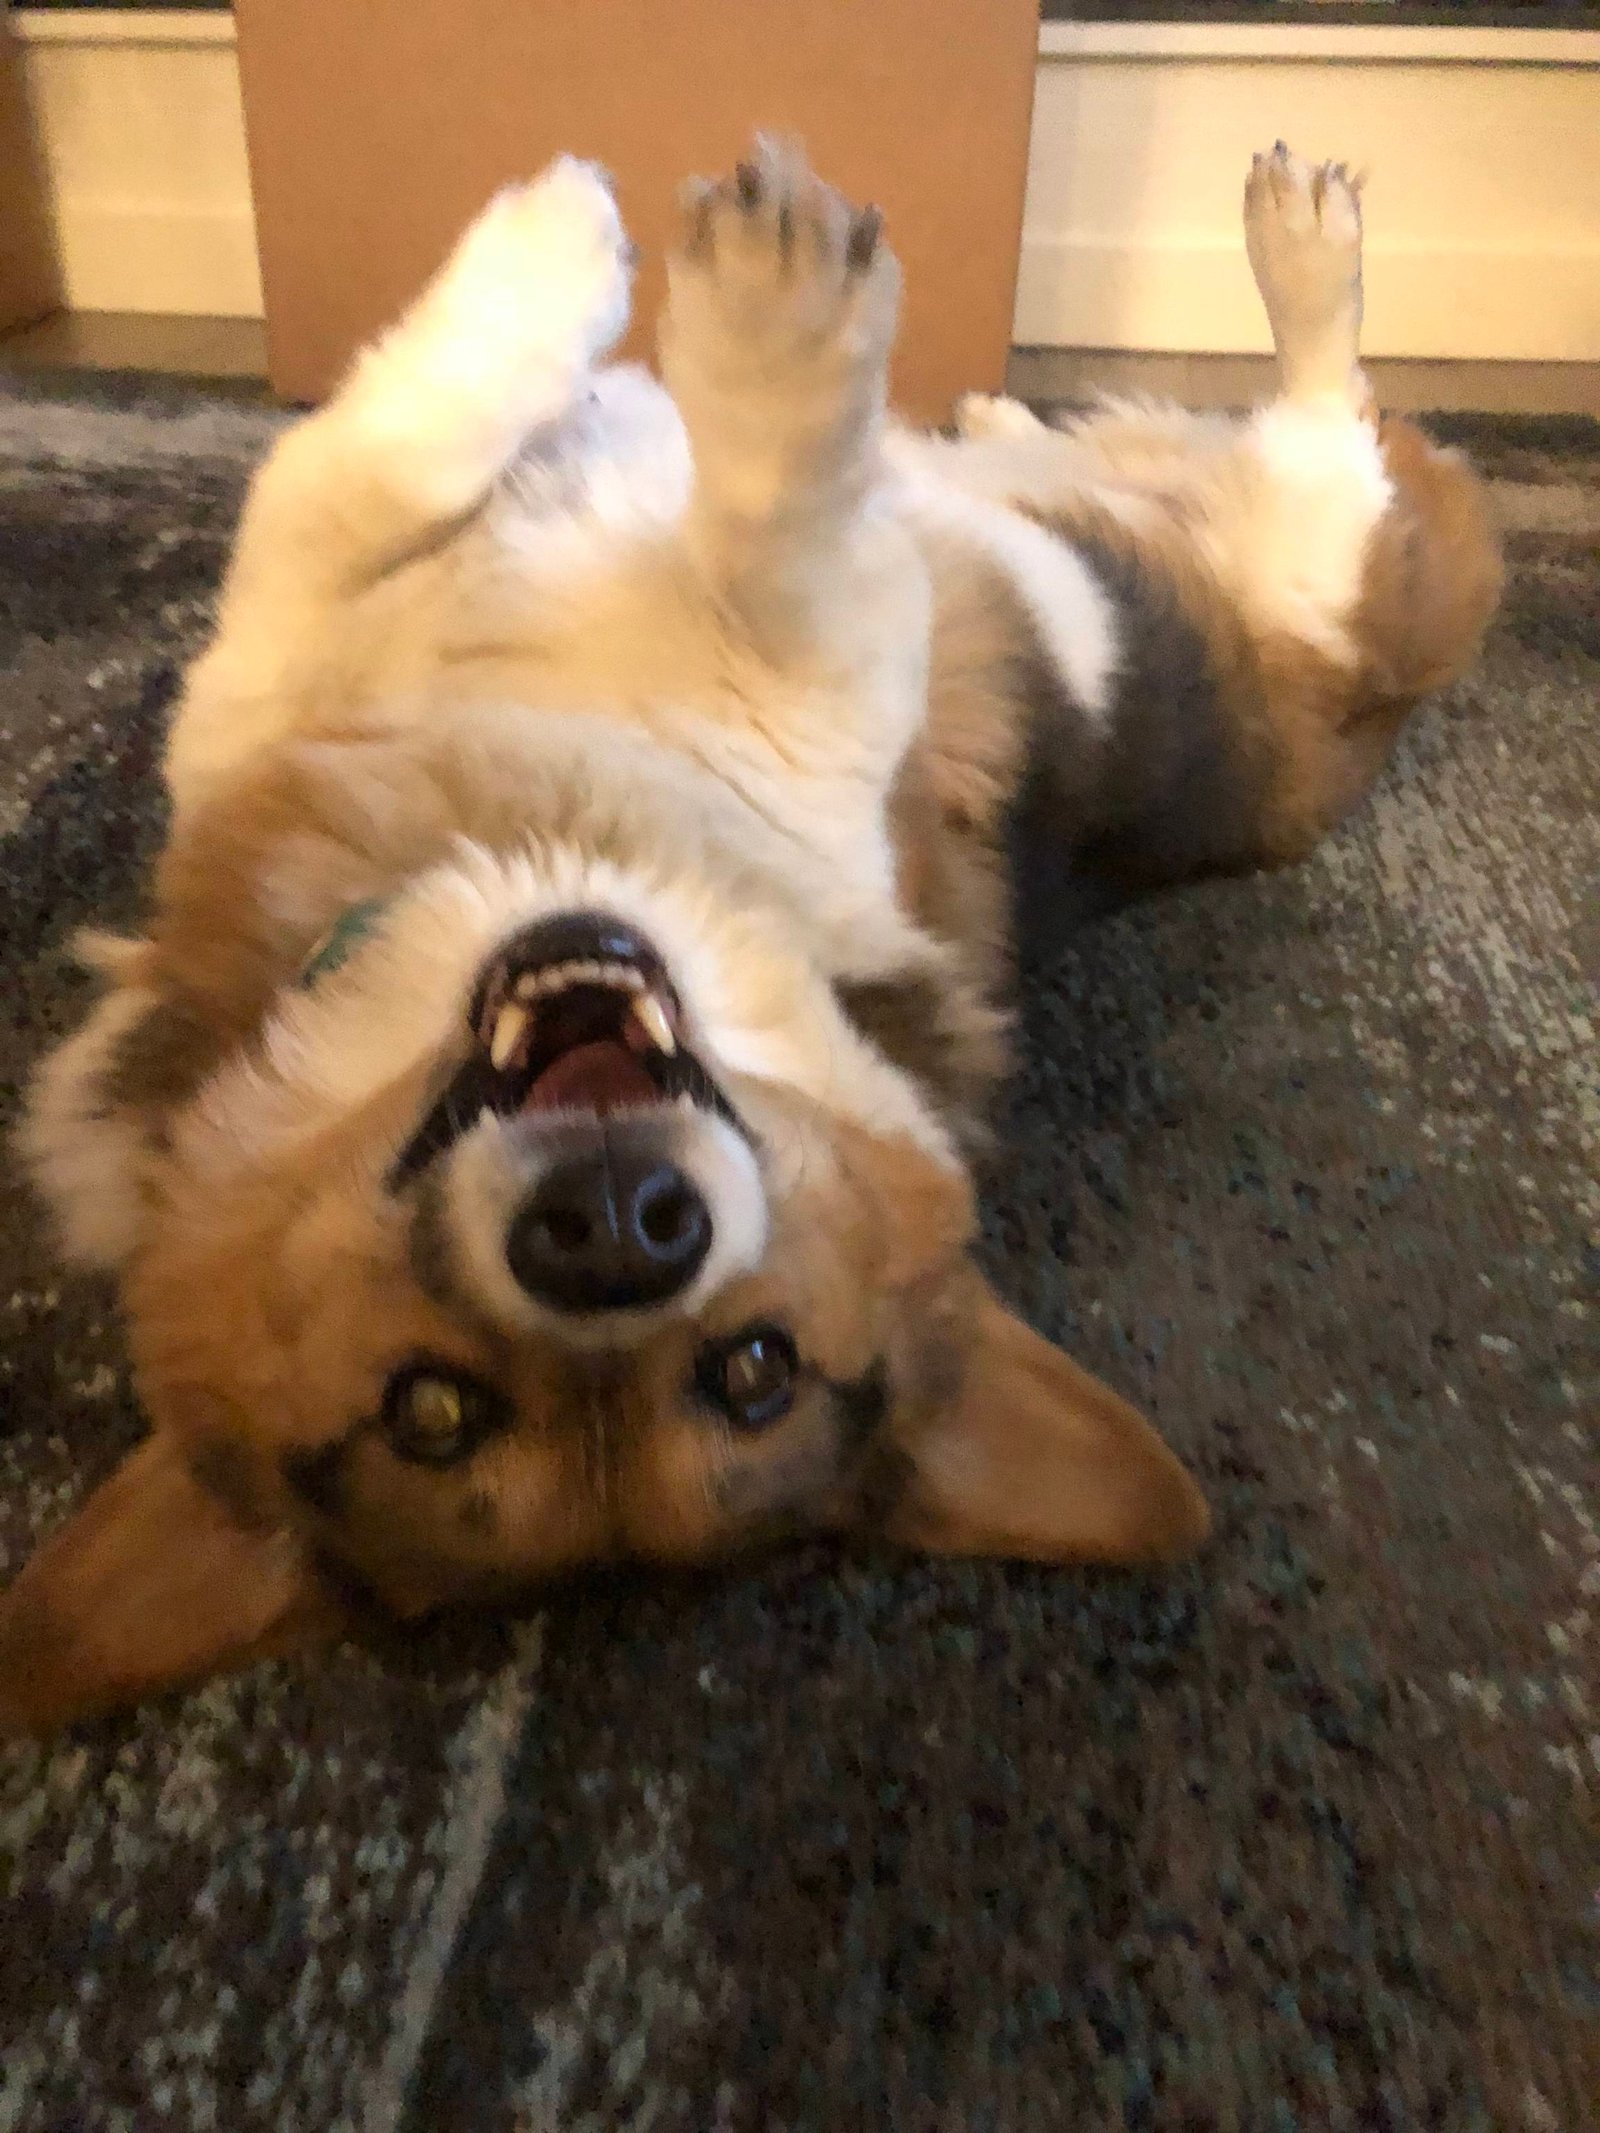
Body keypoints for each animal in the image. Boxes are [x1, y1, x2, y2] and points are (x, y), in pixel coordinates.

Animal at [3, 141, 1501, 1723]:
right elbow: (468, 487)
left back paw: (1178, 306)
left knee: (1297, 426)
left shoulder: (340, 645)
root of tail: (1391, 697)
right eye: (434, 1408)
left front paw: (650, 275)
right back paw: (1160, 320)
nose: (614, 1232)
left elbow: (429, 474)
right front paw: (659, 294)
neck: (527, 845)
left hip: (1270, 549)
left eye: (755, 1368)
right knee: (1268, 434)